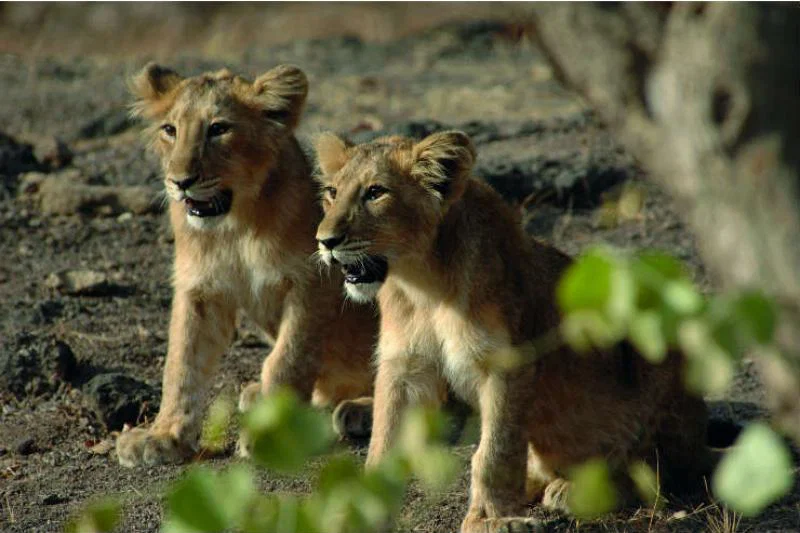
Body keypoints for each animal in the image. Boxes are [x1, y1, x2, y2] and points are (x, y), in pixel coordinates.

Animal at [115, 63, 377, 467]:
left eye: (219, 128)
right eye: (170, 130)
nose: (180, 181)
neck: (235, 226)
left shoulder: (313, 283)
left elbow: (289, 359)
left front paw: (273, 434)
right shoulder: (199, 288)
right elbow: (181, 363)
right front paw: (163, 436)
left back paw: (360, 410)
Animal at [314, 131, 716, 532]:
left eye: (375, 192)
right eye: (332, 192)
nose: (325, 241)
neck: (422, 285)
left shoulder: (506, 364)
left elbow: (495, 451)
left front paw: (491, 520)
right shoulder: (404, 367)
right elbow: (383, 442)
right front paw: (356, 513)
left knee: (660, 473)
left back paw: (575, 490)